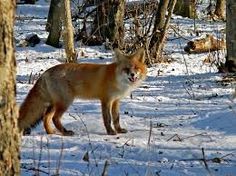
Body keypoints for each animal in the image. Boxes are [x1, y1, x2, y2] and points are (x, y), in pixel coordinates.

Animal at [18, 48, 148, 136]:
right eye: (126, 69)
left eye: (136, 68)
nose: (132, 74)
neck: (118, 80)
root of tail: (46, 72)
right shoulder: (106, 100)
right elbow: (108, 119)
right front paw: (110, 132)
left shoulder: (116, 101)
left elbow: (116, 118)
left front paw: (119, 130)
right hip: (65, 102)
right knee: (55, 118)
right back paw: (65, 132)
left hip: (55, 103)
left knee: (46, 118)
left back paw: (51, 132)